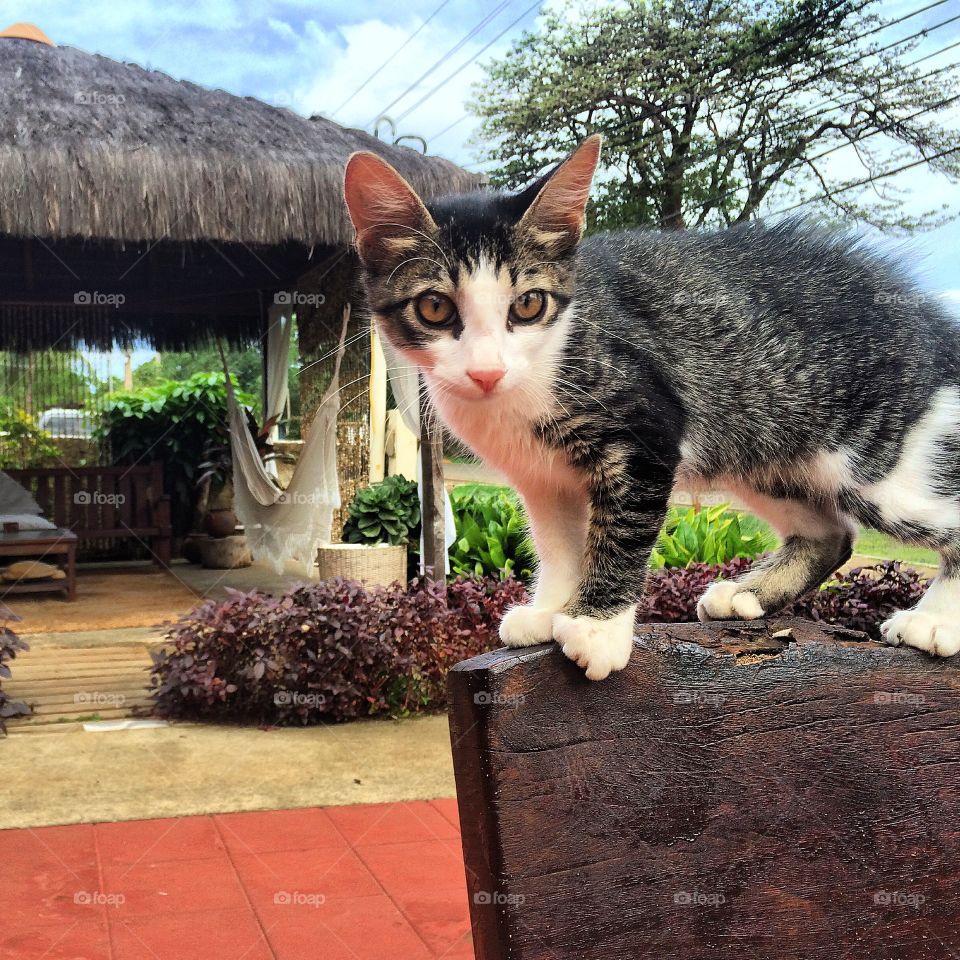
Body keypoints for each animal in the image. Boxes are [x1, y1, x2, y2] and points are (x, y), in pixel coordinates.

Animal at [344, 137, 960, 684]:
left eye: (529, 304)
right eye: (434, 307)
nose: (486, 371)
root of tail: (932, 320)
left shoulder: (646, 429)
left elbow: (621, 530)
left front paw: (597, 627)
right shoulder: (541, 475)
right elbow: (559, 542)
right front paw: (551, 609)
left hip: (877, 460)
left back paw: (935, 622)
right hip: (762, 443)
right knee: (833, 531)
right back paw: (747, 593)